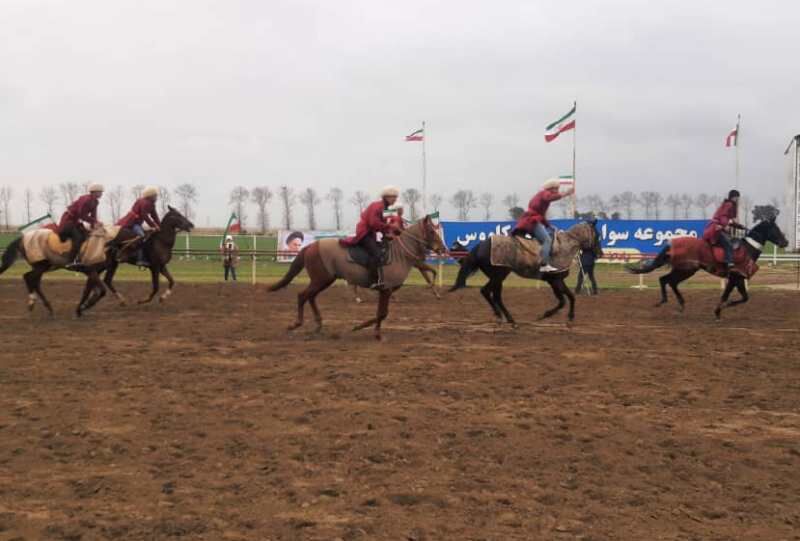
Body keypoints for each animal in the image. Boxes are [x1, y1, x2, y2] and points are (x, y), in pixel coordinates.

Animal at [268, 214, 444, 338]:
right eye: (431, 231)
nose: (442, 248)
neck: (399, 255)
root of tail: (312, 246)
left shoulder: (386, 290)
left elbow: (381, 313)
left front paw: (362, 327)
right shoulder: (386, 290)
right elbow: (382, 313)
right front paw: (372, 332)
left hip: (324, 281)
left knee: (310, 297)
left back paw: (318, 325)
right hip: (320, 280)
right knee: (302, 296)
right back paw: (296, 324)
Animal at [450, 219, 600, 324]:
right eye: (597, 235)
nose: (599, 253)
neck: (563, 248)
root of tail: (480, 246)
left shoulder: (557, 281)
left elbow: (570, 297)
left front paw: (570, 317)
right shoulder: (555, 281)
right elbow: (563, 300)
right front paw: (544, 315)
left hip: (497, 276)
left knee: (489, 293)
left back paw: (502, 316)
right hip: (499, 275)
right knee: (490, 293)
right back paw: (509, 319)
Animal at [624, 215, 788, 316]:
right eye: (776, 229)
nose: (785, 242)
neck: (747, 249)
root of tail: (672, 244)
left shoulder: (739, 278)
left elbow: (745, 297)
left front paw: (723, 307)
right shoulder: (734, 277)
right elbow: (726, 295)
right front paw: (719, 310)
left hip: (684, 270)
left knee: (667, 280)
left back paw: (677, 303)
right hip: (686, 270)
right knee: (667, 280)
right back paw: (669, 302)